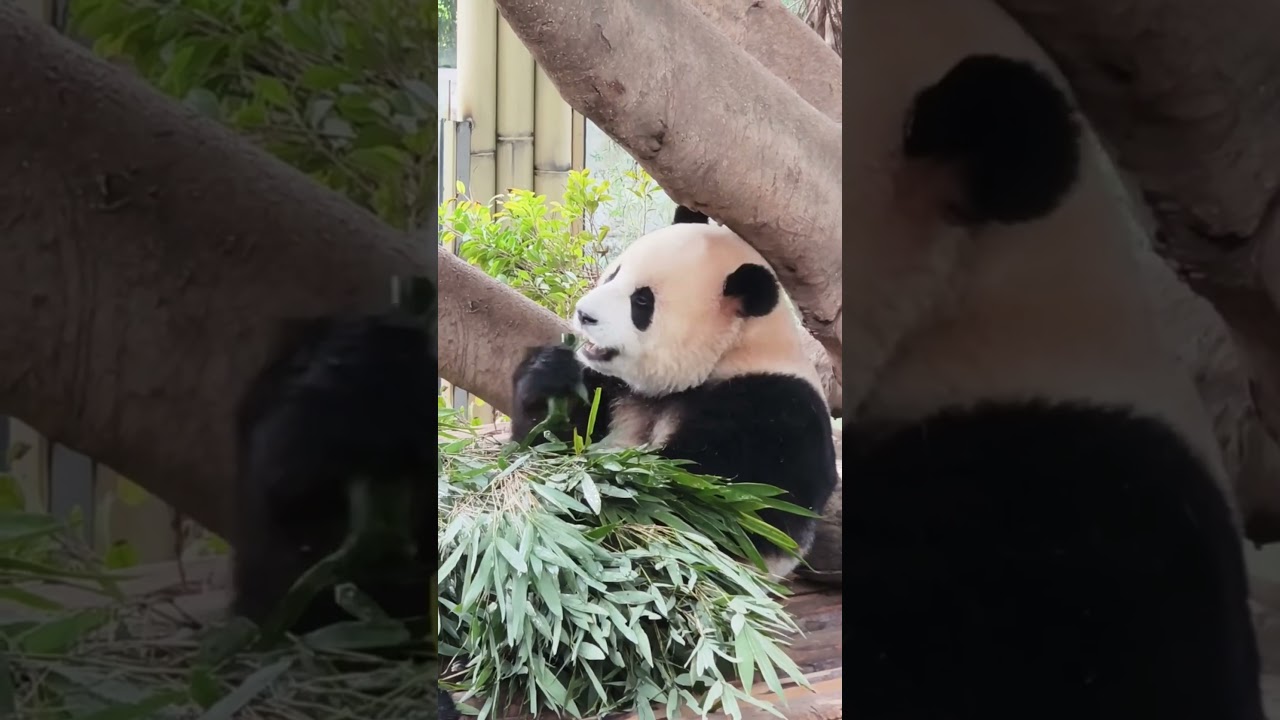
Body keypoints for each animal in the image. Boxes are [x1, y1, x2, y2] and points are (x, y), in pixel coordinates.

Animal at [511, 208, 839, 578]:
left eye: (641, 301)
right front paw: (551, 376)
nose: (583, 314)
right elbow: (547, 441)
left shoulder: (775, 412)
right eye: (614, 274)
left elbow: (719, 509)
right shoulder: (613, 389)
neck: (732, 352)